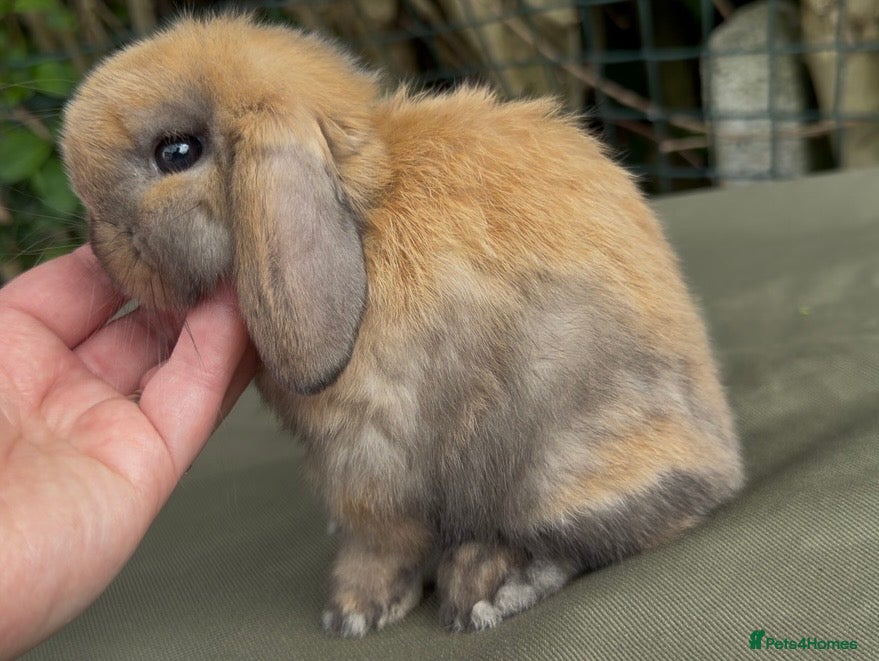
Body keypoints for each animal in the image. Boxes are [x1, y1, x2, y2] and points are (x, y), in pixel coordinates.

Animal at [61, 14, 744, 636]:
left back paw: (488, 586)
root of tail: (722, 460)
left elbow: (382, 537)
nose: (98, 247)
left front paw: (352, 610)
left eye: (177, 153)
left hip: (553, 463)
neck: (364, 215)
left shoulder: (366, 454)